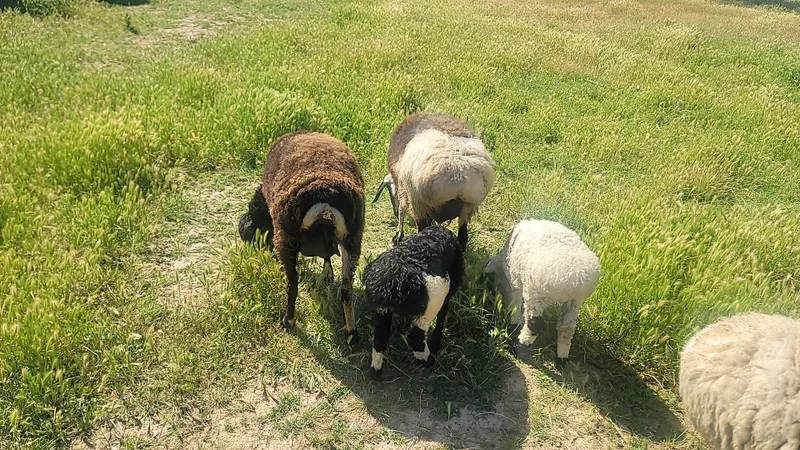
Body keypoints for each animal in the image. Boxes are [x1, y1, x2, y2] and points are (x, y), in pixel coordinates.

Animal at [238, 131, 365, 342]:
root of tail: (325, 195)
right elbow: (327, 257)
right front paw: (327, 276)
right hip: (354, 238)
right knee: (347, 289)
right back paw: (351, 333)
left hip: (286, 237)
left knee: (293, 284)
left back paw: (287, 321)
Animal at [363, 225, 464, 379]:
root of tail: (393, 281)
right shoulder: (448, 291)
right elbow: (442, 315)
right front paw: (436, 345)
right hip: (431, 303)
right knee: (416, 337)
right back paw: (428, 361)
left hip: (383, 310)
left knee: (380, 337)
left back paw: (376, 372)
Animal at [372, 113, 495, 251]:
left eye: (390, 194)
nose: (393, 212)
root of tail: (458, 173)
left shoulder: (403, 187)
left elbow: (402, 209)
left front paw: (398, 237)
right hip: (468, 206)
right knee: (462, 236)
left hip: (419, 202)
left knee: (422, 228)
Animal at [483, 219, 600, 359]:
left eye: (489, 280)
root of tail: (577, 279)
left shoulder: (515, 280)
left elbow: (515, 303)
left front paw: (513, 322)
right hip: (574, 301)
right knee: (567, 327)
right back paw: (562, 356)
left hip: (536, 294)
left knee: (535, 323)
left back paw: (522, 342)